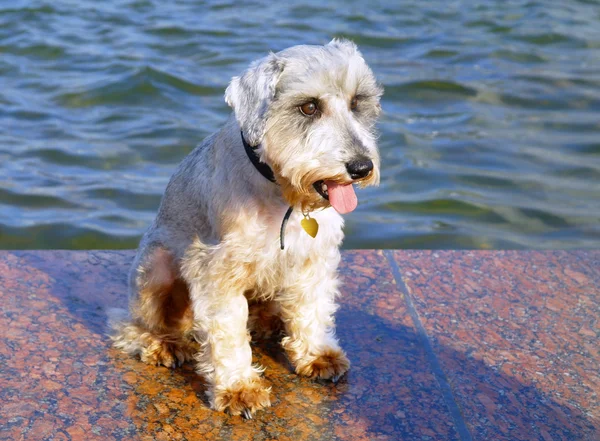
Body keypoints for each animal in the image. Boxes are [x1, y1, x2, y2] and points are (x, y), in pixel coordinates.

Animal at [109, 38, 382, 416]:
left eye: (357, 103)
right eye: (309, 107)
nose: (361, 167)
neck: (280, 191)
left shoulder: (314, 258)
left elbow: (312, 307)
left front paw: (317, 355)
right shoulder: (217, 270)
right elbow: (228, 332)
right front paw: (239, 388)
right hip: (155, 268)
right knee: (134, 324)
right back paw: (162, 344)